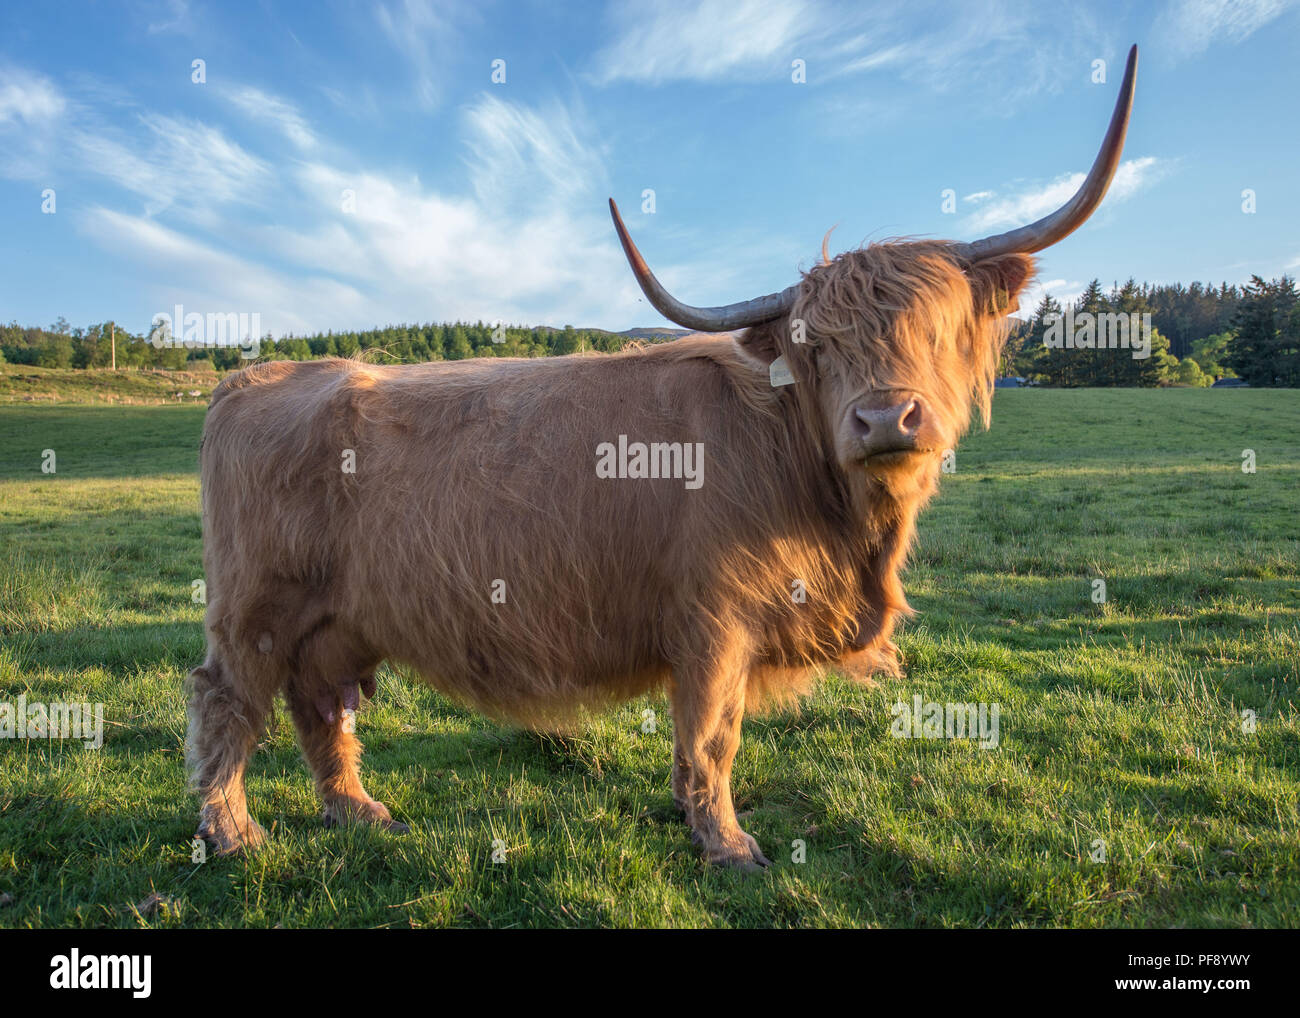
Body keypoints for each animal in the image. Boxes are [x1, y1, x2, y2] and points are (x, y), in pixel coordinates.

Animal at [185, 51, 1138, 873]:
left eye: (935, 328)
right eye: (815, 345)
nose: (883, 418)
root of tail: (261, 375)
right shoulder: (711, 623)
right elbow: (711, 738)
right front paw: (727, 845)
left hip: (335, 620)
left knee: (320, 705)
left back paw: (357, 812)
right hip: (255, 610)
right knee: (225, 701)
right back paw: (233, 833)